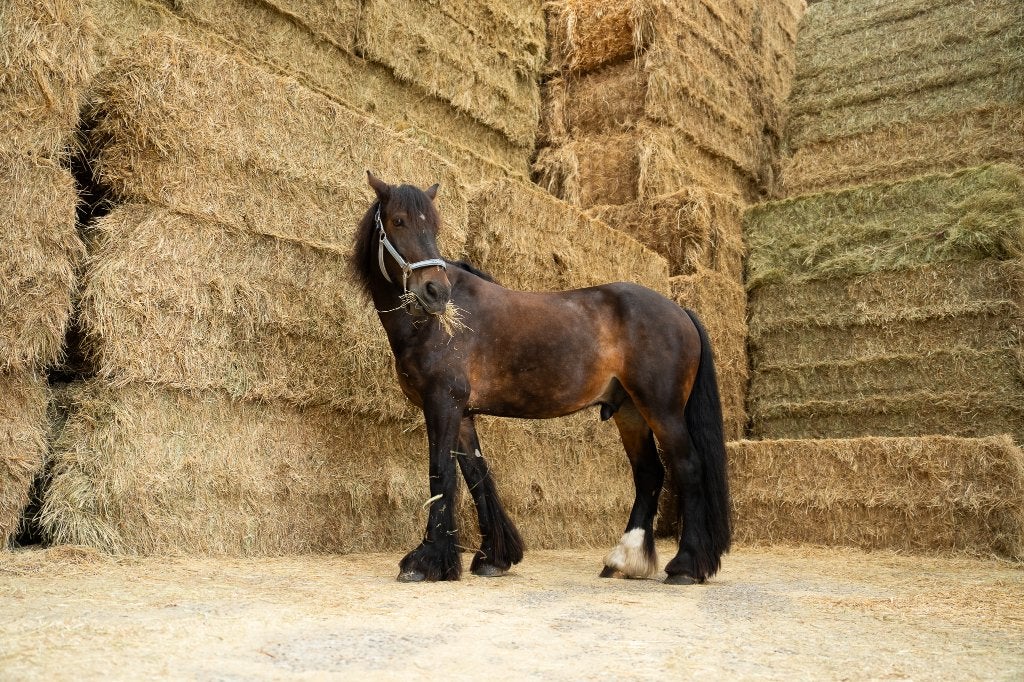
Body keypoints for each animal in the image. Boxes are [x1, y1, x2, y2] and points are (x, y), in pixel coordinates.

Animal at [352, 171, 731, 585]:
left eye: (433, 227)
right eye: (398, 221)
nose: (435, 291)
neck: (433, 326)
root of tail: (680, 310)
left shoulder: (443, 404)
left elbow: (441, 473)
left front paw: (425, 561)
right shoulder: (462, 413)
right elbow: (477, 475)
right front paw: (493, 557)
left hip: (662, 409)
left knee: (688, 468)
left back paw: (686, 565)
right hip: (630, 411)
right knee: (649, 474)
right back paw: (624, 560)